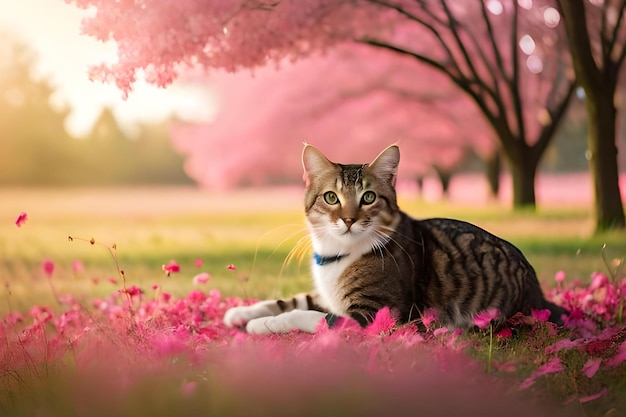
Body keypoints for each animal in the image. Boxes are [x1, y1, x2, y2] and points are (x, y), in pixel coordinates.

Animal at [222, 145, 564, 334]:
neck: (339, 255)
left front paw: (265, 324)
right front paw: (242, 313)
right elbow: (292, 299)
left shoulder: (375, 313)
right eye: (331, 197)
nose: (348, 219)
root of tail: (540, 294)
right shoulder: (327, 293)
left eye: (369, 197)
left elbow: (311, 315)